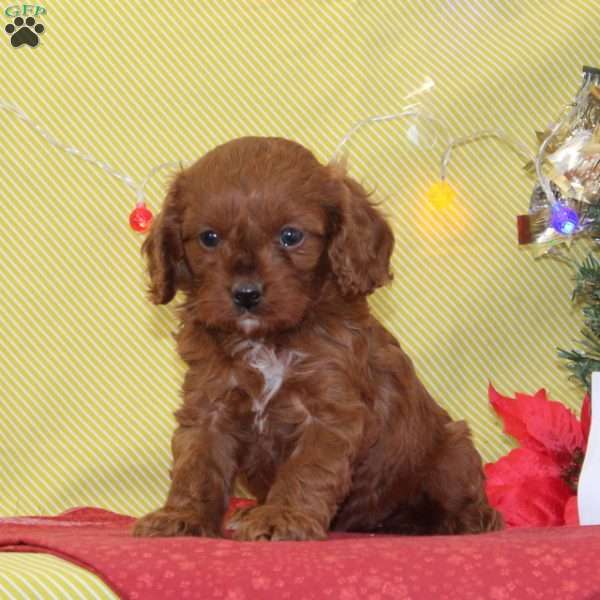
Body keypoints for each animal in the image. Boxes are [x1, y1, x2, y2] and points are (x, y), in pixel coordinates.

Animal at [132, 138, 502, 540]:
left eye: (291, 236)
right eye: (209, 238)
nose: (245, 295)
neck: (268, 340)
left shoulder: (329, 412)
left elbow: (306, 470)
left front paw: (282, 516)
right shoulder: (209, 407)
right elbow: (196, 467)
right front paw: (181, 517)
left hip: (453, 450)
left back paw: (463, 519)